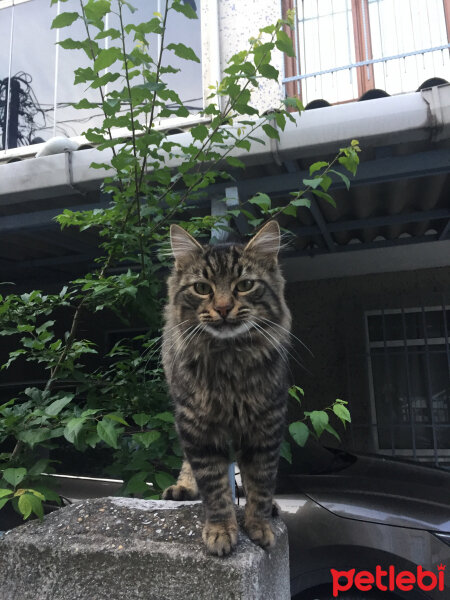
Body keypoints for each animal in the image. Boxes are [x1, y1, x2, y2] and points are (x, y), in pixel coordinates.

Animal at [162, 221, 292, 556]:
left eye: (244, 285)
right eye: (202, 288)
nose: (222, 308)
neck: (229, 357)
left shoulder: (267, 425)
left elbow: (260, 484)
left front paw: (259, 525)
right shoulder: (197, 427)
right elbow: (216, 489)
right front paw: (220, 531)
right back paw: (183, 488)